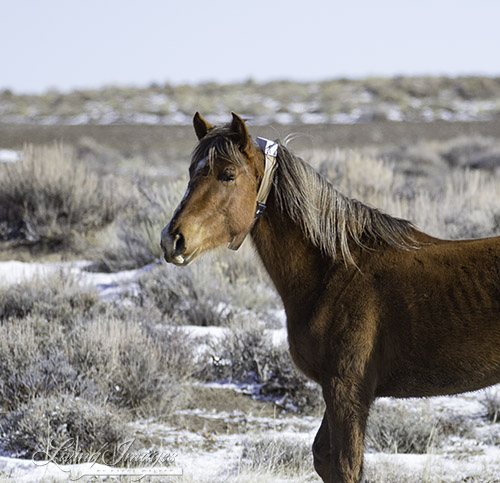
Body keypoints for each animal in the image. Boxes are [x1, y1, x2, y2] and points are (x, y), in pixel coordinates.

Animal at [160, 112, 500, 483]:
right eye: (192, 171)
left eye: (228, 174)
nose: (172, 239)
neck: (335, 271)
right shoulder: (333, 389)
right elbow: (323, 458)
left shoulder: (346, 390)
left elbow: (345, 464)